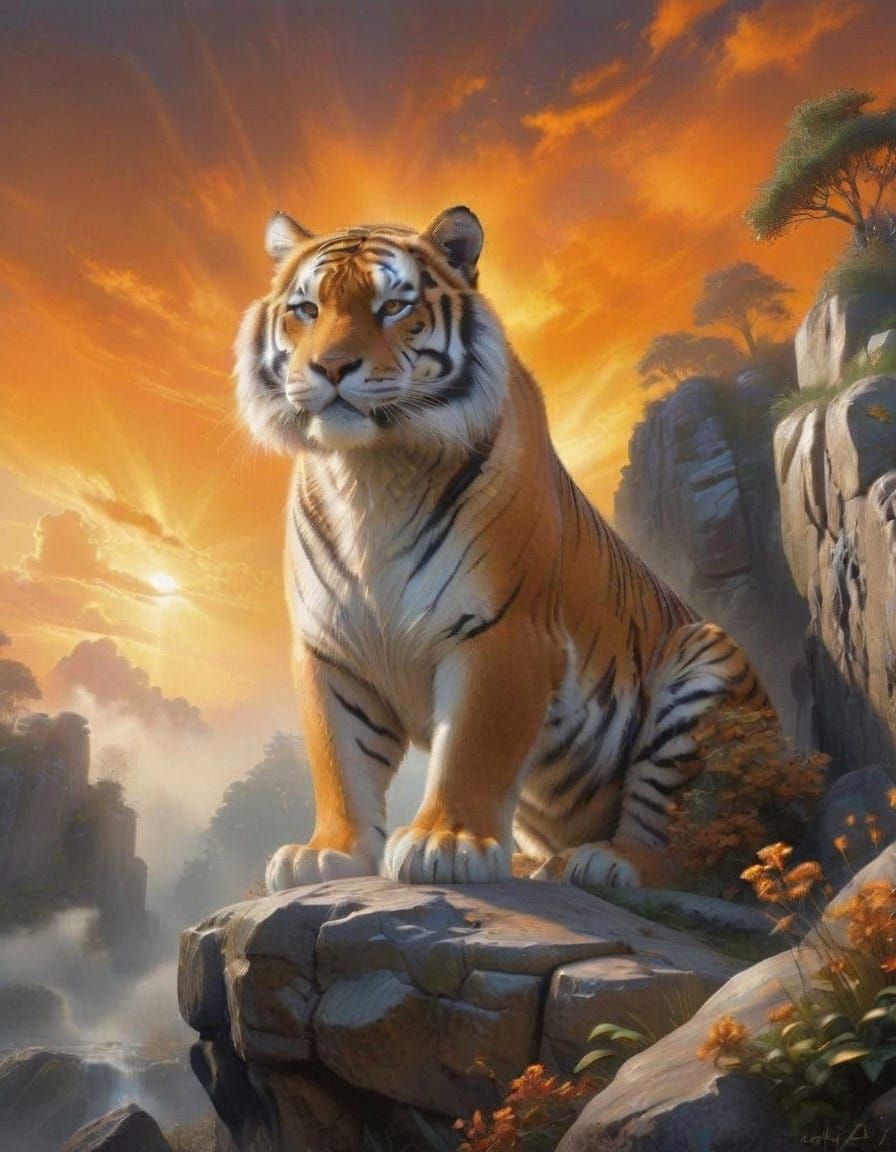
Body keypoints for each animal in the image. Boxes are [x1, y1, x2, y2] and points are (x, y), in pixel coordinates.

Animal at [235, 204, 770, 893]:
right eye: (306, 309)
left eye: (391, 307)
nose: (330, 368)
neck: (370, 472)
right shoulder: (331, 649)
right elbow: (339, 760)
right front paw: (328, 853)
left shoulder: (503, 629)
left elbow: (473, 747)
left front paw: (445, 844)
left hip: (705, 661)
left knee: (681, 837)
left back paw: (609, 862)